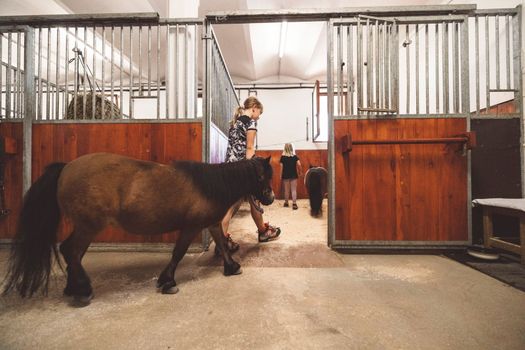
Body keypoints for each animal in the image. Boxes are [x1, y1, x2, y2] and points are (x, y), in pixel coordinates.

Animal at [3, 152, 274, 304]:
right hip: (88, 226)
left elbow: (222, 244)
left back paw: (74, 288)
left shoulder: (212, 223)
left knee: (73, 254)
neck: (209, 185)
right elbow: (178, 253)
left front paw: (232, 267)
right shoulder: (190, 227)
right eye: (262, 177)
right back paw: (83, 290)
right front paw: (167, 282)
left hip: (85, 227)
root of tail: (66, 167)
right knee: (71, 251)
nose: (270, 198)